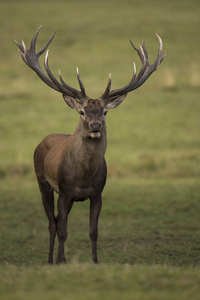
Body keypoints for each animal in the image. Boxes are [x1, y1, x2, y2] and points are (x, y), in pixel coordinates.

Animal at [14, 26, 166, 264]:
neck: (83, 176)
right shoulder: (65, 192)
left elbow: (93, 231)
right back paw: (50, 260)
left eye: (104, 112)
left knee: (56, 221)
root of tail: (42, 140)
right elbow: (63, 230)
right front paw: (61, 262)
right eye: (82, 111)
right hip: (42, 182)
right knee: (52, 224)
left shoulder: (97, 193)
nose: (95, 125)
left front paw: (94, 262)